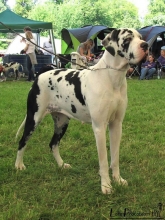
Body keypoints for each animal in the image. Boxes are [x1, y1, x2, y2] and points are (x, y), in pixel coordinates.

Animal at [14, 27, 148, 194]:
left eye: (140, 37)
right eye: (128, 39)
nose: (146, 45)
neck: (112, 78)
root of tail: (40, 74)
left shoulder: (116, 125)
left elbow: (115, 158)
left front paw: (118, 179)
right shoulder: (99, 128)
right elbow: (104, 161)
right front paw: (106, 186)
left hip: (62, 122)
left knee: (53, 144)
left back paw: (61, 165)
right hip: (33, 119)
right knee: (22, 142)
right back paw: (19, 165)